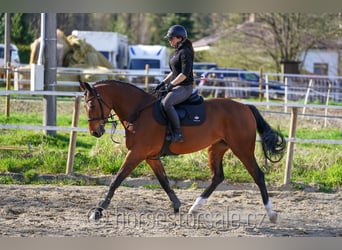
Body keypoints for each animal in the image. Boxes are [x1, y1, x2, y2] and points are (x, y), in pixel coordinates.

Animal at [79, 79, 284, 223]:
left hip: (242, 149)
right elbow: (164, 181)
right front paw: (177, 205)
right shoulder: (150, 157)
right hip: (216, 148)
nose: (95, 132)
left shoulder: (137, 153)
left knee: (258, 175)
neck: (139, 111)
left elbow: (116, 180)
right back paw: (194, 208)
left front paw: (98, 211)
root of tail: (245, 107)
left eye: (92, 105)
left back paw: (272, 214)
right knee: (217, 177)